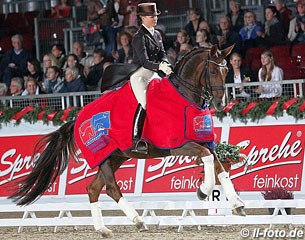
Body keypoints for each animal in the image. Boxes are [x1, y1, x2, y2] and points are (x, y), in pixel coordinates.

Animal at [8, 45, 245, 238]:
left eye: (226, 71)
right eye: (212, 71)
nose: (220, 104)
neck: (184, 96)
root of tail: (76, 119)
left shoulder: (204, 142)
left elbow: (219, 167)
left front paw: (237, 204)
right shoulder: (179, 145)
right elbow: (208, 161)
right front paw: (203, 191)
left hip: (115, 157)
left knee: (93, 189)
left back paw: (104, 229)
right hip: (104, 158)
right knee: (111, 188)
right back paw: (138, 221)